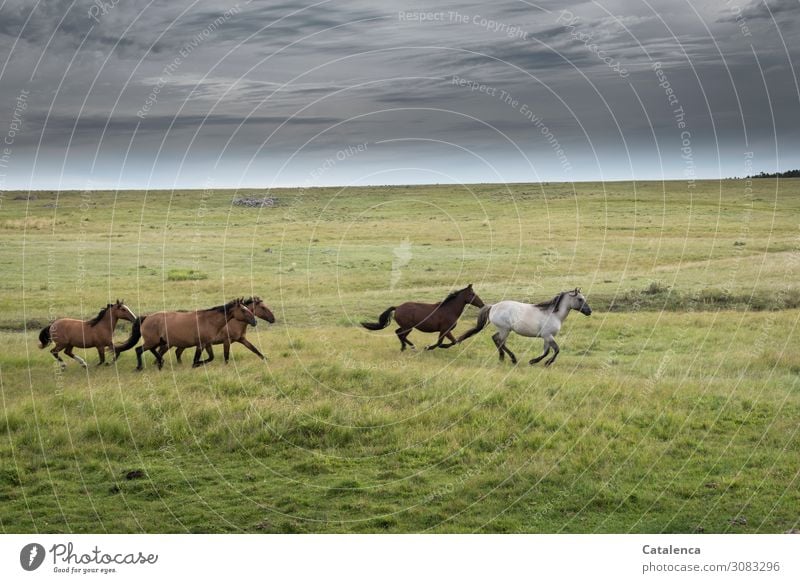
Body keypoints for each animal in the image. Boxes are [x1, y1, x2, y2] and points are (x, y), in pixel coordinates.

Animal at [115, 298, 256, 372]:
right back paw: (140, 367)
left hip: (158, 341)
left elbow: (211, 358)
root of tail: (146, 318)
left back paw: (160, 363)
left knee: (154, 351)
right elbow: (196, 359)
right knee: (139, 350)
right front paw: (195, 365)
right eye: (243, 310)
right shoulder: (200, 344)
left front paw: (199, 364)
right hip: (152, 341)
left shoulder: (207, 343)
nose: (255, 321)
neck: (208, 320)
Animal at [456, 290, 592, 368]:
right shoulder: (548, 336)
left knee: (496, 339)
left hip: (504, 330)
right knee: (499, 341)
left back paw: (502, 358)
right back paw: (512, 359)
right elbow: (556, 350)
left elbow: (546, 351)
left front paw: (534, 361)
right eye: (580, 299)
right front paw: (545, 363)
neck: (553, 314)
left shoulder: (546, 337)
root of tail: (493, 306)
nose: (589, 311)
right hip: (505, 329)